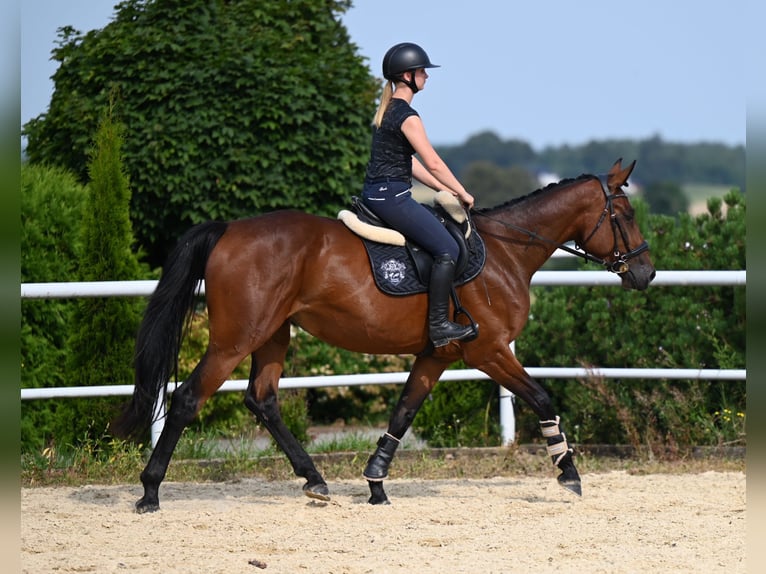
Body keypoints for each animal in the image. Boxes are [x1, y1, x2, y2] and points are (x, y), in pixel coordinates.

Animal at [112, 158, 656, 512]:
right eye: (626, 215)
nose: (645, 273)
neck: (506, 252)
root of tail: (229, 229)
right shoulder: (488, 350)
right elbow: (541, 397)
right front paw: (568, 472)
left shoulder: (437, 354)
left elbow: (404, 410)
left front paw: (375, 482)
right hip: (235, 339)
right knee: (188, 398)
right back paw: (150, 491)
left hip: (273, 334)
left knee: (262, 399)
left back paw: (315, 480)